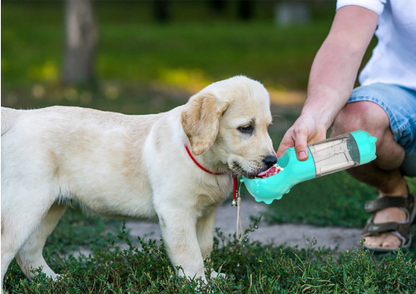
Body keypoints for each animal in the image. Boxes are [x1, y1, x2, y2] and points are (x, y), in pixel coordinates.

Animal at [2, 74, 280, 286]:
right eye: (246, 128)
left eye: (267, 126)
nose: (272, 160)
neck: (204, 159)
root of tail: (21, 117)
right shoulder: (176, 213)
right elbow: (191, 255)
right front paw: (200, 286)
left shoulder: (206, 215)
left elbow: (205, 249)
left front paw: (212, 277)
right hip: (26, 203)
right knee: (8, 247)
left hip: (50, 207)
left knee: (28, 251)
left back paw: (52, 280)